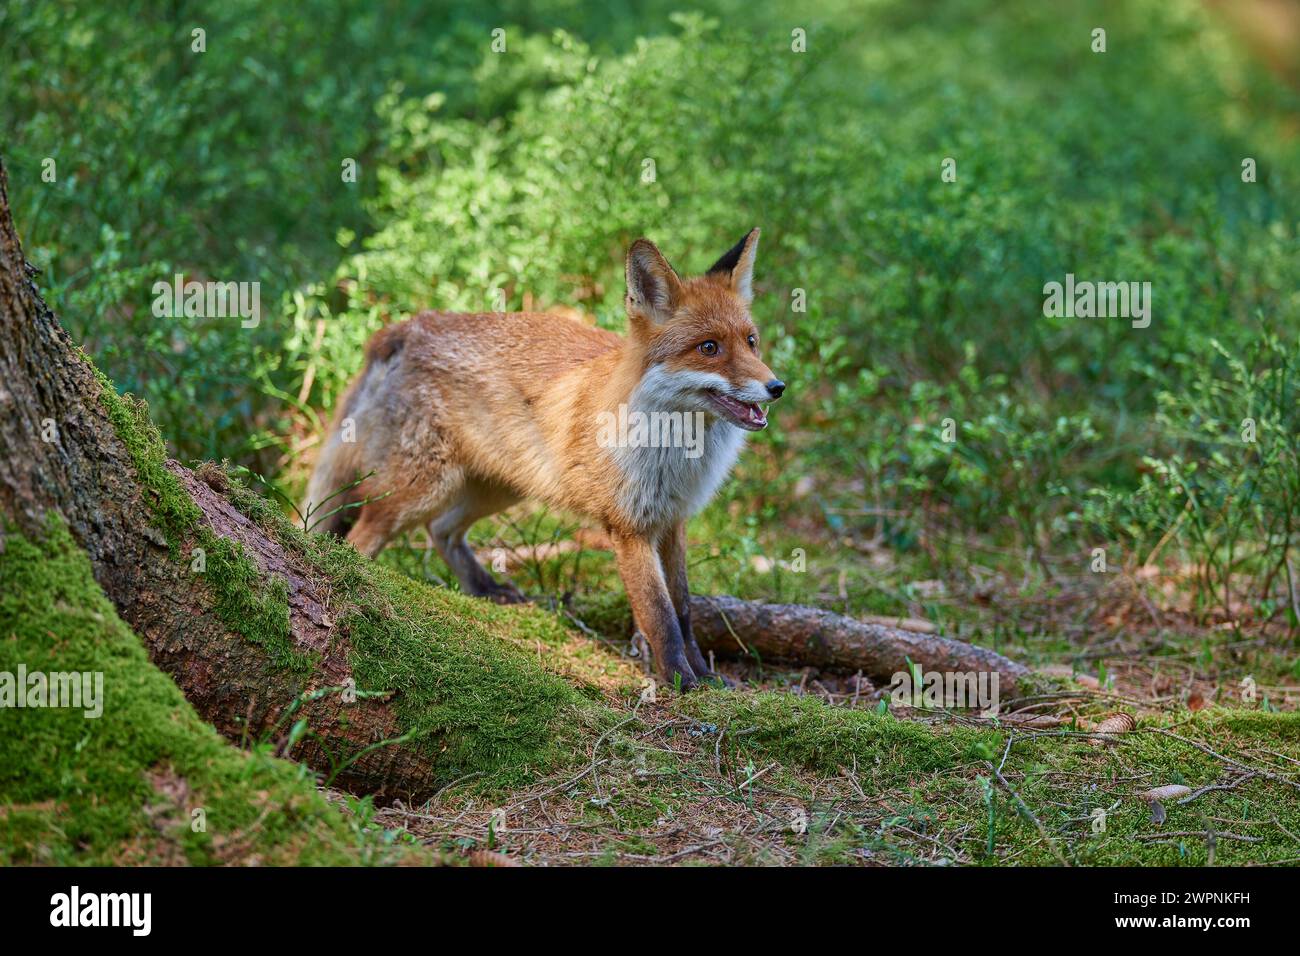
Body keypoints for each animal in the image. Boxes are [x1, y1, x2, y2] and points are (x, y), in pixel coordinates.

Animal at [306, 231, 780, 686]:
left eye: (751, 342)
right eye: (709, 347)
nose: (777, 387)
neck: (680, 453)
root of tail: (409, 325)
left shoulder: (672, 521)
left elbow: (684, 609)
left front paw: (706, 676)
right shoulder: (629, 528)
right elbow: (660, 617)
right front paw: (682, 681)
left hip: (499, 489)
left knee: (441, 530)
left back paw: (485, 589)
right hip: (419, 490)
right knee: (356, 541)